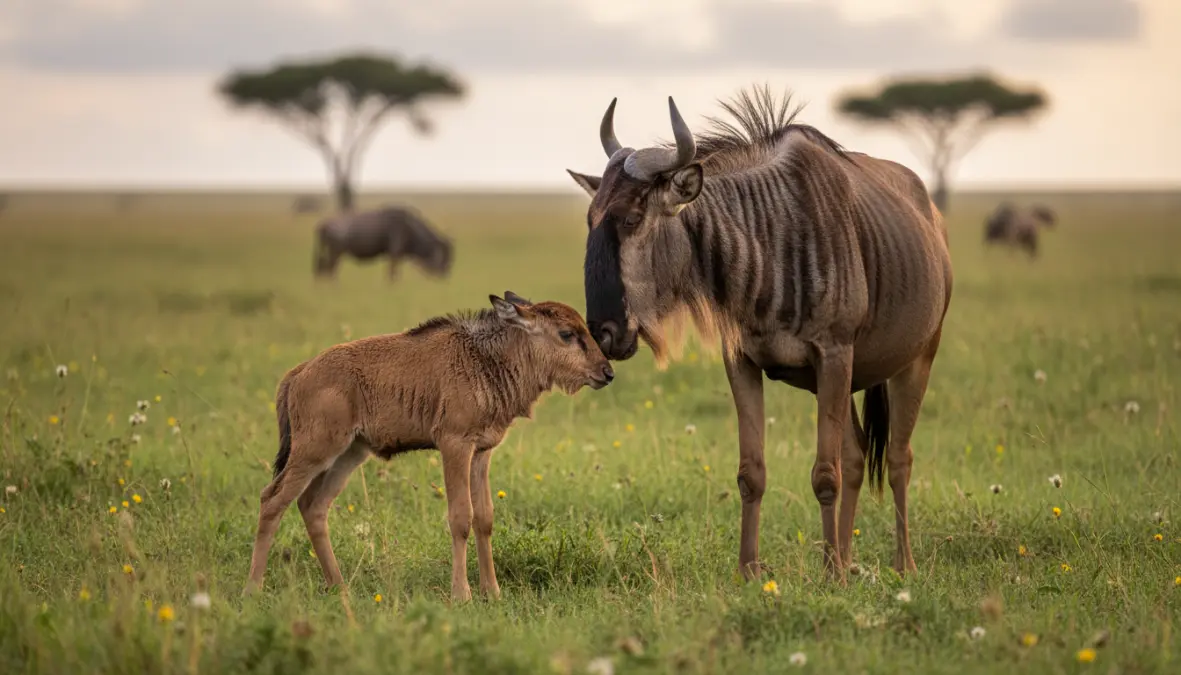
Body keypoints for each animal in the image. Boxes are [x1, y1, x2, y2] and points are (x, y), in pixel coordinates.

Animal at [243, 292, 614, 602]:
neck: (485, 360)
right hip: (314, 451)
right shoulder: (454, 446)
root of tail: (299, 373)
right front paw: (462, 594)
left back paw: (339, 585)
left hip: (348, 455)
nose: (606, 372)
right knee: (272, 500)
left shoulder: (482, 453)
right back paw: (253, 588)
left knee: (313, 506)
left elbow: (485, 518)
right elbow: (461, 517)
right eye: (566, 333)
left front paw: (492, 592)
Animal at [566, 86, 953, 582]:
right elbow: (752, 473)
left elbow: (824, 474)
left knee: (898, 458)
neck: (769, 240)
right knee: (856, 455)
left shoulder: (833, 355)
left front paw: (828, 575)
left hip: (916, 359)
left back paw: (901, 565)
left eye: (632, 219)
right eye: (590, 219)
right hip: (850, 379)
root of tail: (932, 218)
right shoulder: (743, 363)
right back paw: (848, 559)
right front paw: (750, 569)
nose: (603, 333)